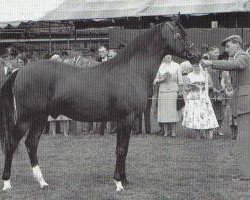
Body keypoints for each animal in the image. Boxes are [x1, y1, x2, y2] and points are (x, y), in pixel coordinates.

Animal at [0, 16, 199, 191]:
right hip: (26, 118)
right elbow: (121, 149)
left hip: (40, 118)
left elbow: (123, 148)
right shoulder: (126, 118)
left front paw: (123, 180)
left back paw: (42, 182)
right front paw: (118, 183)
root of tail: (19, 71)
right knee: (12, 143)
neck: (130, 71)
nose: (195, 56)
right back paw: (7, 183)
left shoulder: (124, 120)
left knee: (31, 143)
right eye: (180, 35)